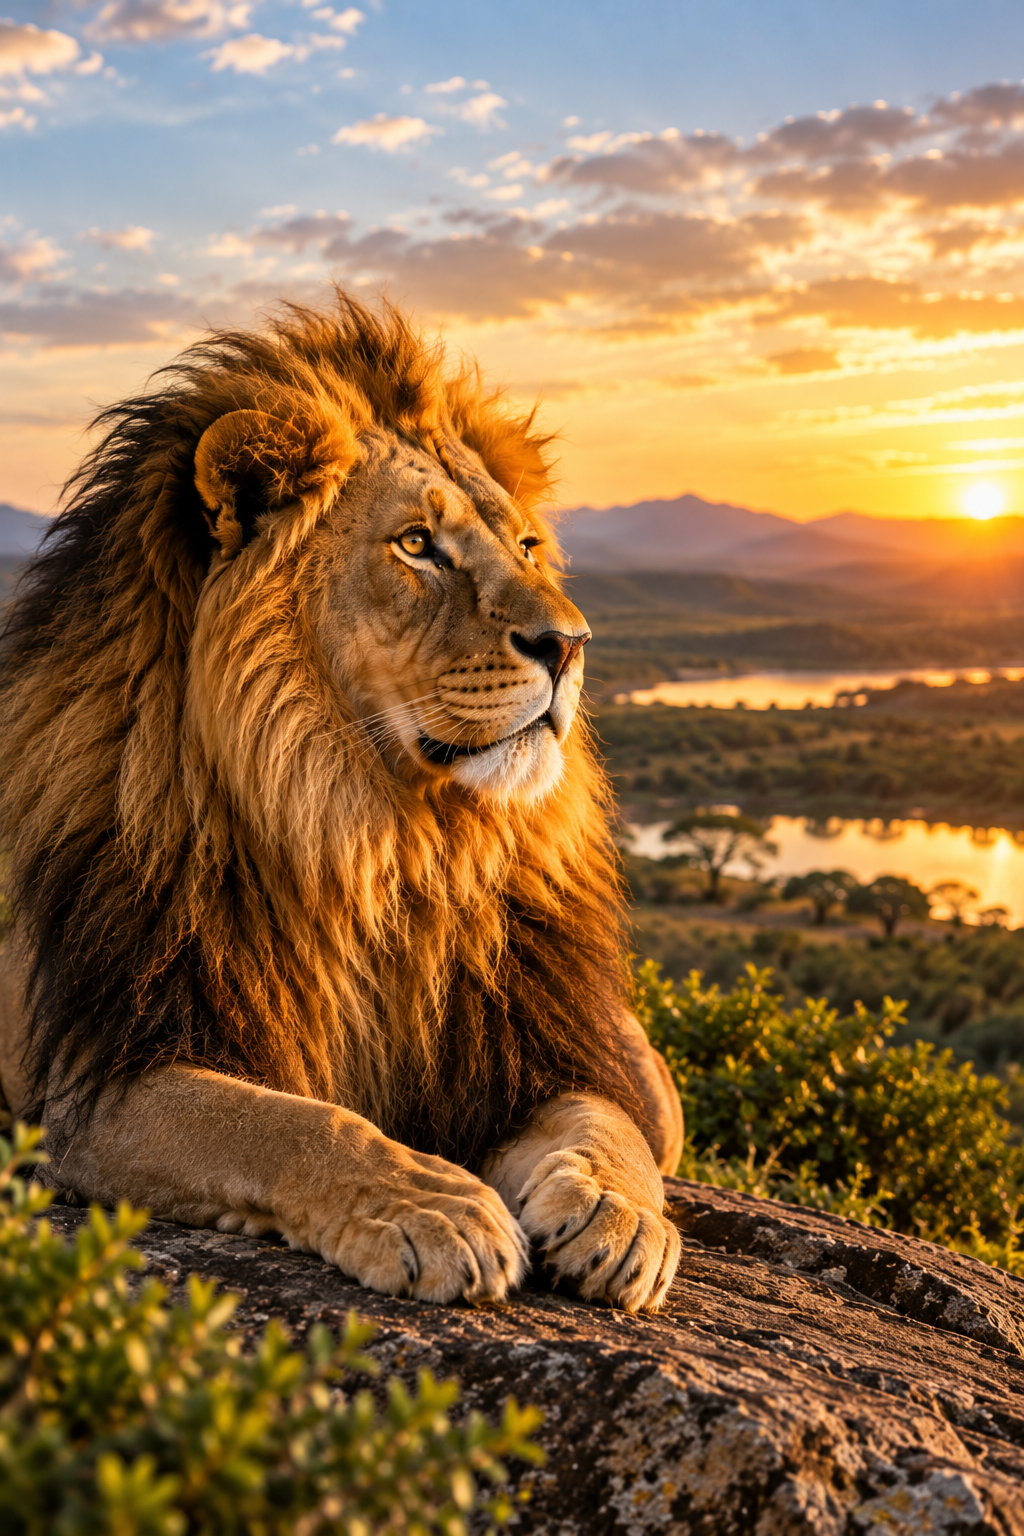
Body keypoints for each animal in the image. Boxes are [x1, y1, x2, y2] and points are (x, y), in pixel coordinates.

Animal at [0, 293, 683, 1313]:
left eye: (525, 544)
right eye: (417, 545)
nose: (571, 642)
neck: (379, 836)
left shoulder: (535, 1035)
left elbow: (613, 1121)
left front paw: (618, 1210)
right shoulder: (93, 1083)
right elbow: (289, 1123)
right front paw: (430, 1206)